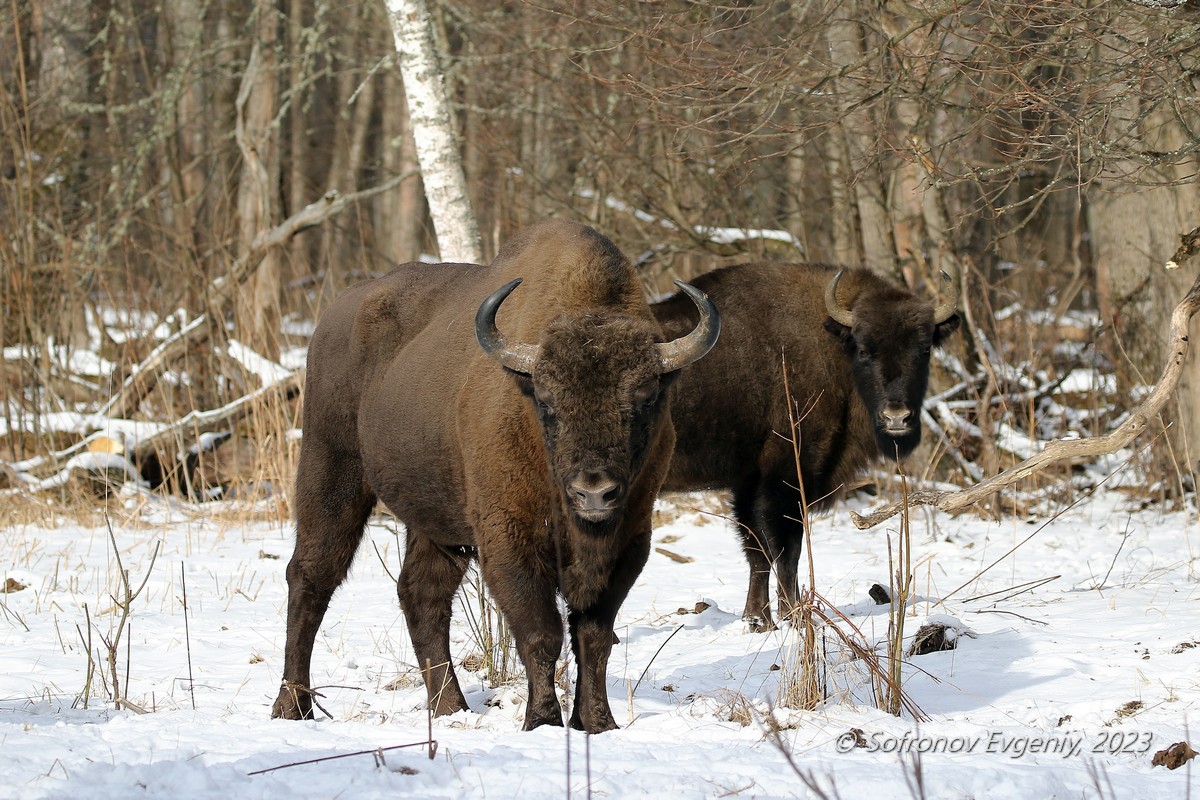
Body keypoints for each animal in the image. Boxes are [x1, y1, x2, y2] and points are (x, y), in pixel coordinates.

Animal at [272, 219, 715, 734]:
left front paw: (598, 723)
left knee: (421, 593)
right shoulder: (507, 539)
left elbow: (594, 636)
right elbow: (541, 632)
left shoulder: (629, 542)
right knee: (310, 577)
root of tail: (333, 316)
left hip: (434, 519)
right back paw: (292, 708)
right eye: (546, 400)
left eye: (644, 398)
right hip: (331, 470)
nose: (594, 493)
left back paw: (450, 707)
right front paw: (542, 722)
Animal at [652, 262, 960, 633]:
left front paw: (759, 620)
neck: (830, 344)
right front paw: (794, 617)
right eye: (863, 349)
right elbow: (787, 550)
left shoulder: (749, 483)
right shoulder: (787, 478)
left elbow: (758, 552)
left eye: (924, 348)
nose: (896, 416)